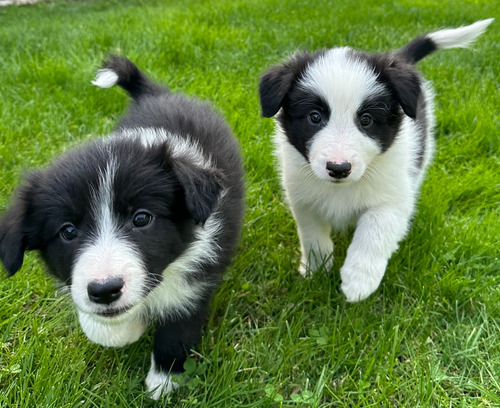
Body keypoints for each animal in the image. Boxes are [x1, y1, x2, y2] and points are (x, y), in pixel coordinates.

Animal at [0, 55, 244, 400]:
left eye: (141, 218)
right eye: (68, 231)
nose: (105, 290)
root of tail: (159, 94)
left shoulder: (197, 277)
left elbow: (178, 329)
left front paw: (163, 382)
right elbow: (101, 323)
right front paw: (122, 331)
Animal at [260, 19, 494, 302]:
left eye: (366, 120)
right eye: (314, 117)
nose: (339, 168)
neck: (343, 188)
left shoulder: (392, 198)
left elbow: (375, 232)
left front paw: (358, 280)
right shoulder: (303, 199)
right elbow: (312, 236)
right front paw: (316, 270)